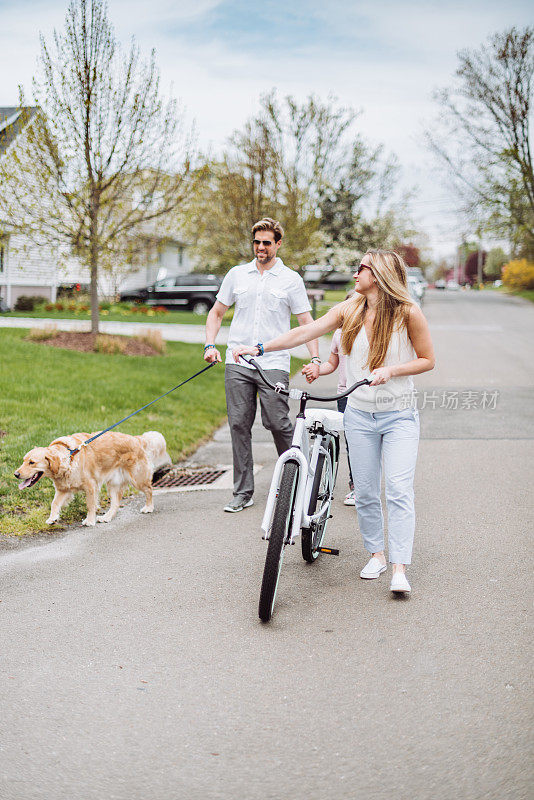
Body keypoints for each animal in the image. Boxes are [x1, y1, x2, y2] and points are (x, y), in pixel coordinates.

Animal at [14, 432, 171, 524]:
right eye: (23, 461)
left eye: (32, 462)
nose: (16, 474)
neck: (69, 456)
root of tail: (138, 439)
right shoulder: (63, 490)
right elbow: (54, 503)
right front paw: (52, 518)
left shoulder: (91, 486)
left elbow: (90, 505)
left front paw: (89, 520)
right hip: (113, 484)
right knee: (115, 504)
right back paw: (107, 517)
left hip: (138, 479)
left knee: (149, 490)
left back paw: (149, 507)